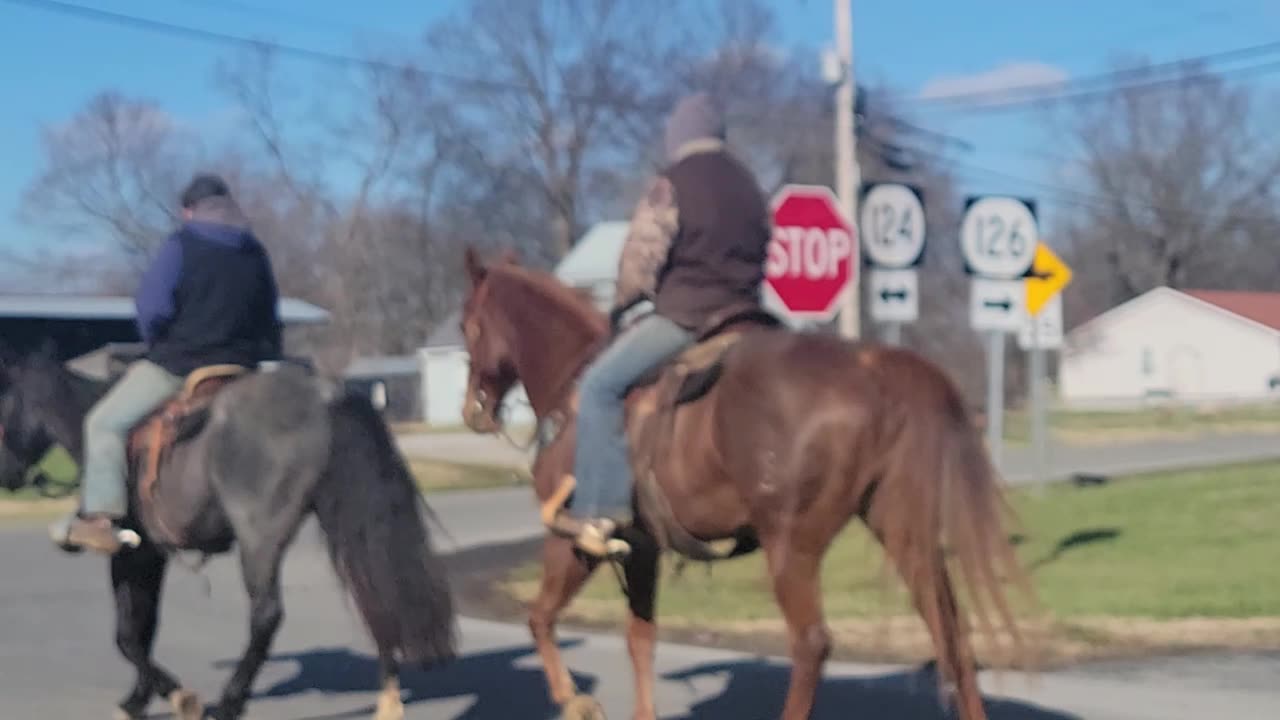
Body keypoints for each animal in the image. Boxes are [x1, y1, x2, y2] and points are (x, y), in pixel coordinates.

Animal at [0, 343, 458, 717]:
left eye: (3, 401)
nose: (8, 475)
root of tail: (324, 397)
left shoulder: (132, 553)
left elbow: (128, 635)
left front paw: (175, 696)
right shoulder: (152, 556)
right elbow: (143, 627)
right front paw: (139, 698)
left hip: (259, 537)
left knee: (266, 615)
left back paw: (230, 701)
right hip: (346, 520)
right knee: (374, 590)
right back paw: (389, 698)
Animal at [458, 248, 1029, 717]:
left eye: (467, 326)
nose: (472, 411)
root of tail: (876, 366)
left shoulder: (575, 539)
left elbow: (540, 618)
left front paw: (573, 698)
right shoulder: (642, 548)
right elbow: (640, 639)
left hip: (791, 544)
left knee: (811, 644)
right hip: (900, 527)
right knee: (949, 632)